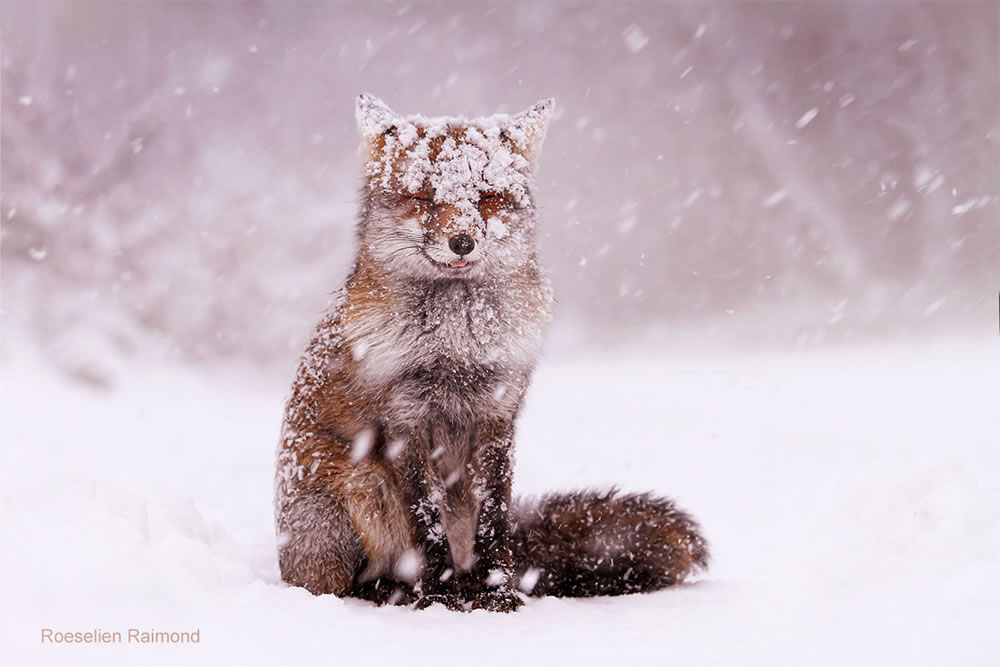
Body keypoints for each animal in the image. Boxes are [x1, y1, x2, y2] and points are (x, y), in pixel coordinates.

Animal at [276, 92, 712, 612]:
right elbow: (427, 525)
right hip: (363, 484)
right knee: (345, 583)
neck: (454, 348)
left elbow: (494, 517)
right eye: (425, 199)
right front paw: (440, 597)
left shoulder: (498, 416)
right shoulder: (405, 422)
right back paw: (396, 591)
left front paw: (497, 593)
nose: (461, 241)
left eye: (486, 197)